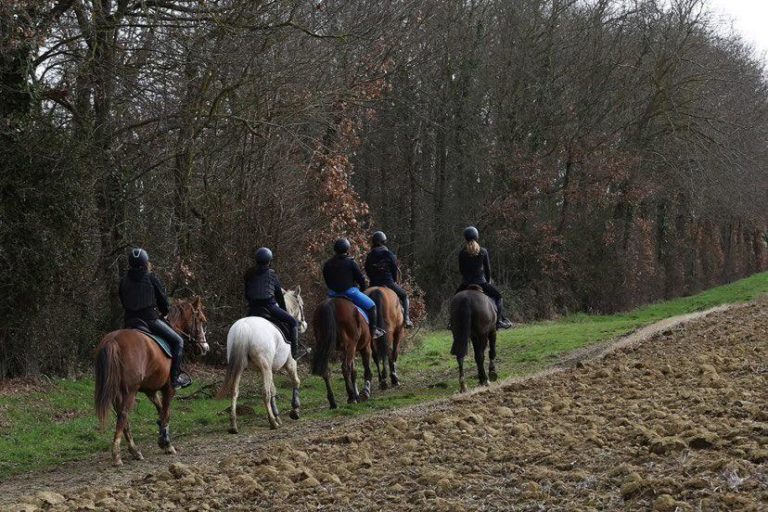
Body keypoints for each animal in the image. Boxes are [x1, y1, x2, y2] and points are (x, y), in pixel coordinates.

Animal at [94, 296, 208, 468]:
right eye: (201, 319)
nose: (205, 348)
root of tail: (113, 340)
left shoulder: (151, 391)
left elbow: (161, 411)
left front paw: (162, 437)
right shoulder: (169, 388)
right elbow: (166, 412)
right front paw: (167, 444)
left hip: (117, 391)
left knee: (123, 418)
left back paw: (135, 451)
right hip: (129, 391)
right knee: (123, 415)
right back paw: (117, 456)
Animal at [218, 288, 308, 432]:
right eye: (302, 305)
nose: (304, 325)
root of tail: (244, 328)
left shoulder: (268, 369)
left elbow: (273, 390)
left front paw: (277, 415)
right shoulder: (290, 363)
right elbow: (295, 382)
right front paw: (294, 410)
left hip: (241, 367)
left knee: (234, 391)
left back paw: (233, 425)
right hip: (266, 367)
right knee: (265, 393)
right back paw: (272, 423)